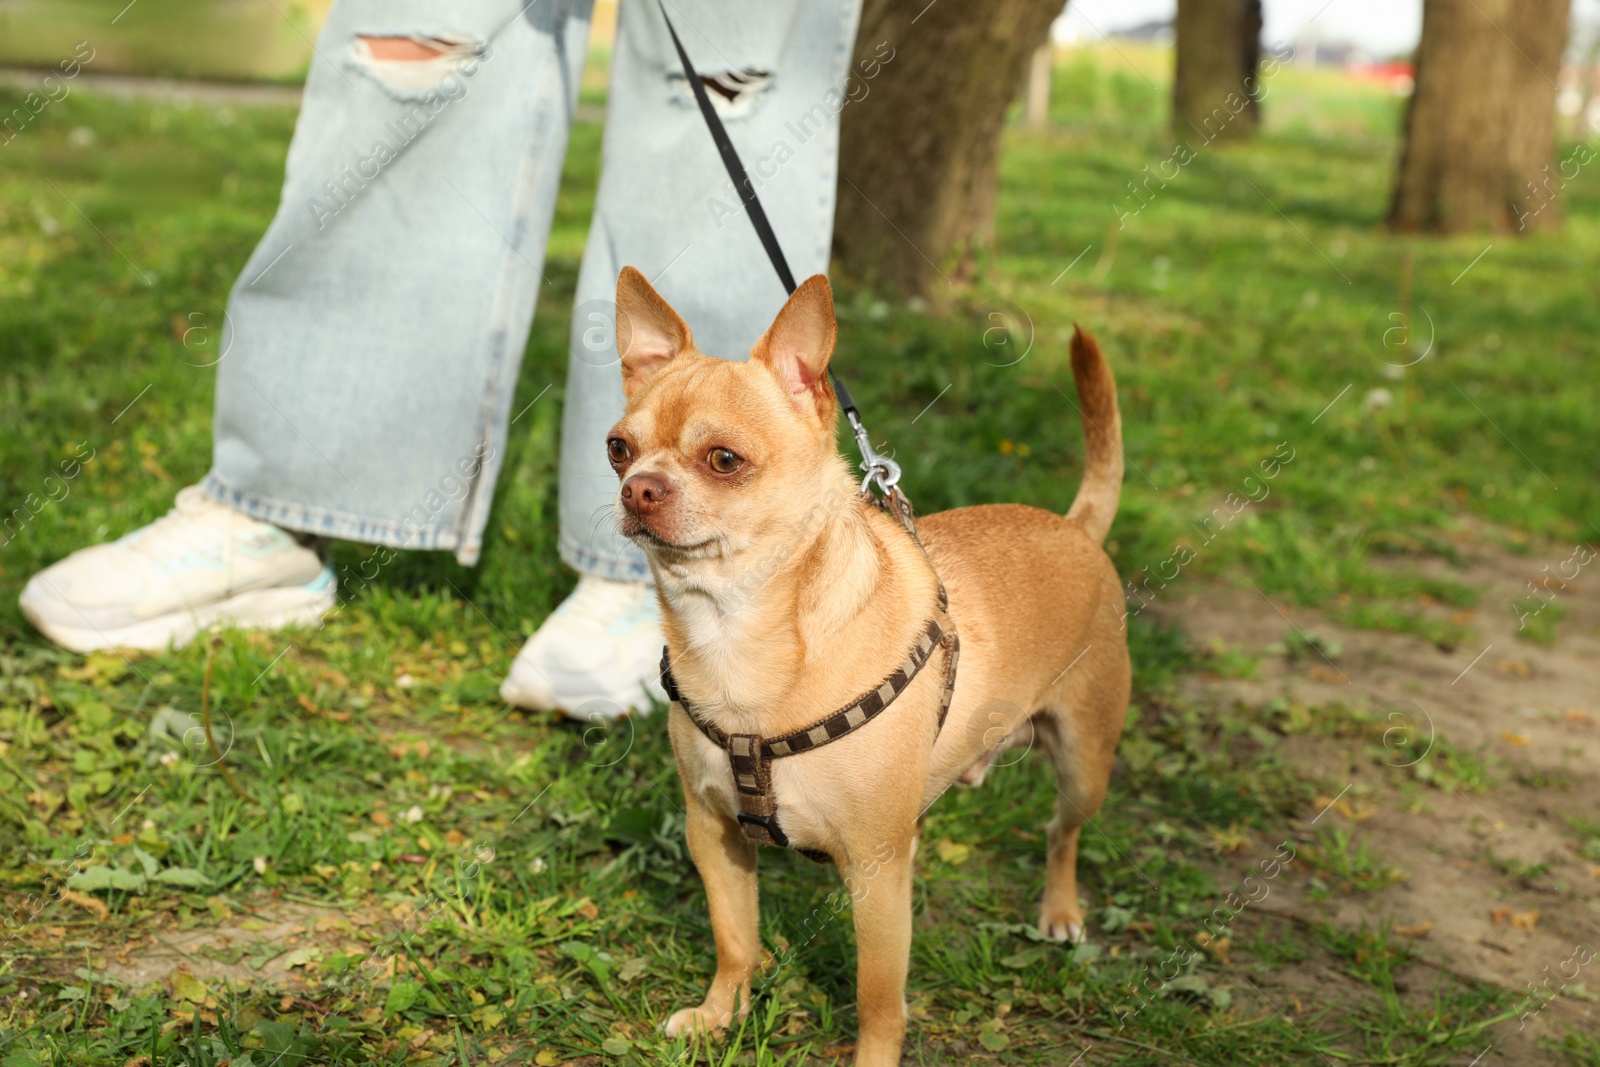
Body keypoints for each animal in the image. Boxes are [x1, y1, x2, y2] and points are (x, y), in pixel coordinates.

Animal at [604, 262, 1132, 1062]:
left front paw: (872, 1056)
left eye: (723, 459)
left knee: (1061, 831)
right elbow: (735, 937)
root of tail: (1076, 528)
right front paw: (721, 1013)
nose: (638, 487)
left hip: (1084, 763)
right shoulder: (714, 834)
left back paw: (1061, 908)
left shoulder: (879, 869)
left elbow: (879, 995)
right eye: (617, 449)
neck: (735, 630)